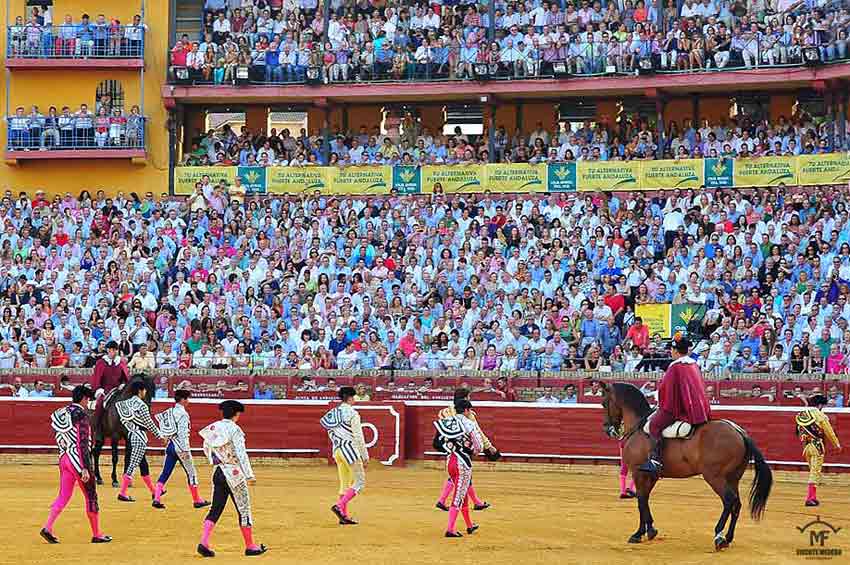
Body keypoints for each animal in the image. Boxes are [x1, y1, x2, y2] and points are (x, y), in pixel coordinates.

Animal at [596, 382, 768, 548]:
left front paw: (638, 534)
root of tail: (740, 433)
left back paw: (719, 536)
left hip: (715, 477)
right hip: (733, 478)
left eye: (604, 403)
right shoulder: (651, 475)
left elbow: (641, 501)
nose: (607, 429)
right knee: (736, 504)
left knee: (728, 500)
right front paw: (650, 530)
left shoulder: (638, 473)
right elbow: (645, 499)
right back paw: (728, 538)